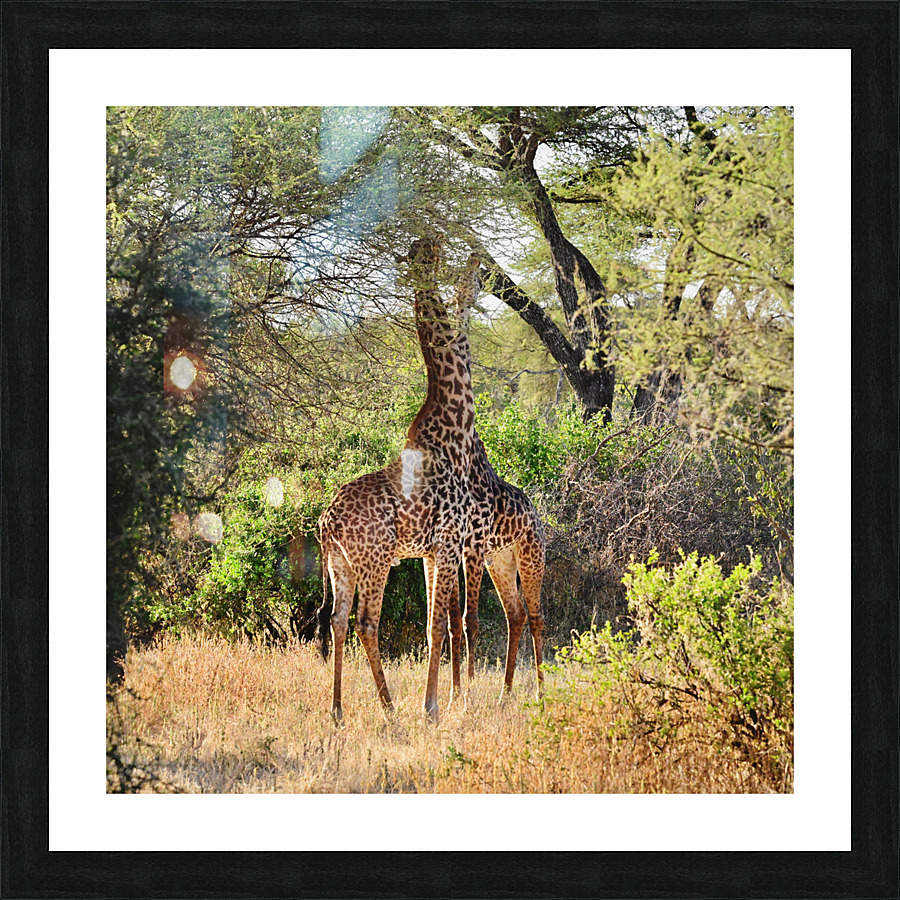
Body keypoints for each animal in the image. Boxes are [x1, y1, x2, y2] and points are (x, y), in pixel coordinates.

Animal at [315, 239, 479, 721]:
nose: (474, 257)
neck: (455, 431)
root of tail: (325, 524)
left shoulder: (428, 550)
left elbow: (431, 625)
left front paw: (441, 702)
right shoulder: (448, 542)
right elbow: (440, 624)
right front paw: (432, 708)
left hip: (341, 565)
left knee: (337, 620)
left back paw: (338, 712)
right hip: (375, 561)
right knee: (367, 622)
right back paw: (390, 711)